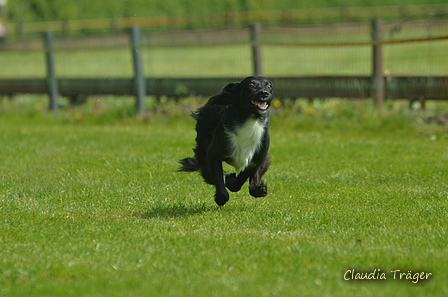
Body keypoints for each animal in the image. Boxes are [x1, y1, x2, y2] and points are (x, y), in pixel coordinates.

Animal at [178, 76, 272, 205]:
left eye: (269, 86)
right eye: (251, 86)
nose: (264, 93)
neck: (251, 122)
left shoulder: (255, 158)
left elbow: (241, 180)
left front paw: (232, 181)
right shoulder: (214, 153)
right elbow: (219, 182)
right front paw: (220, 198)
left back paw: (258, 189)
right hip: (203, 140)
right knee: (203, 163)